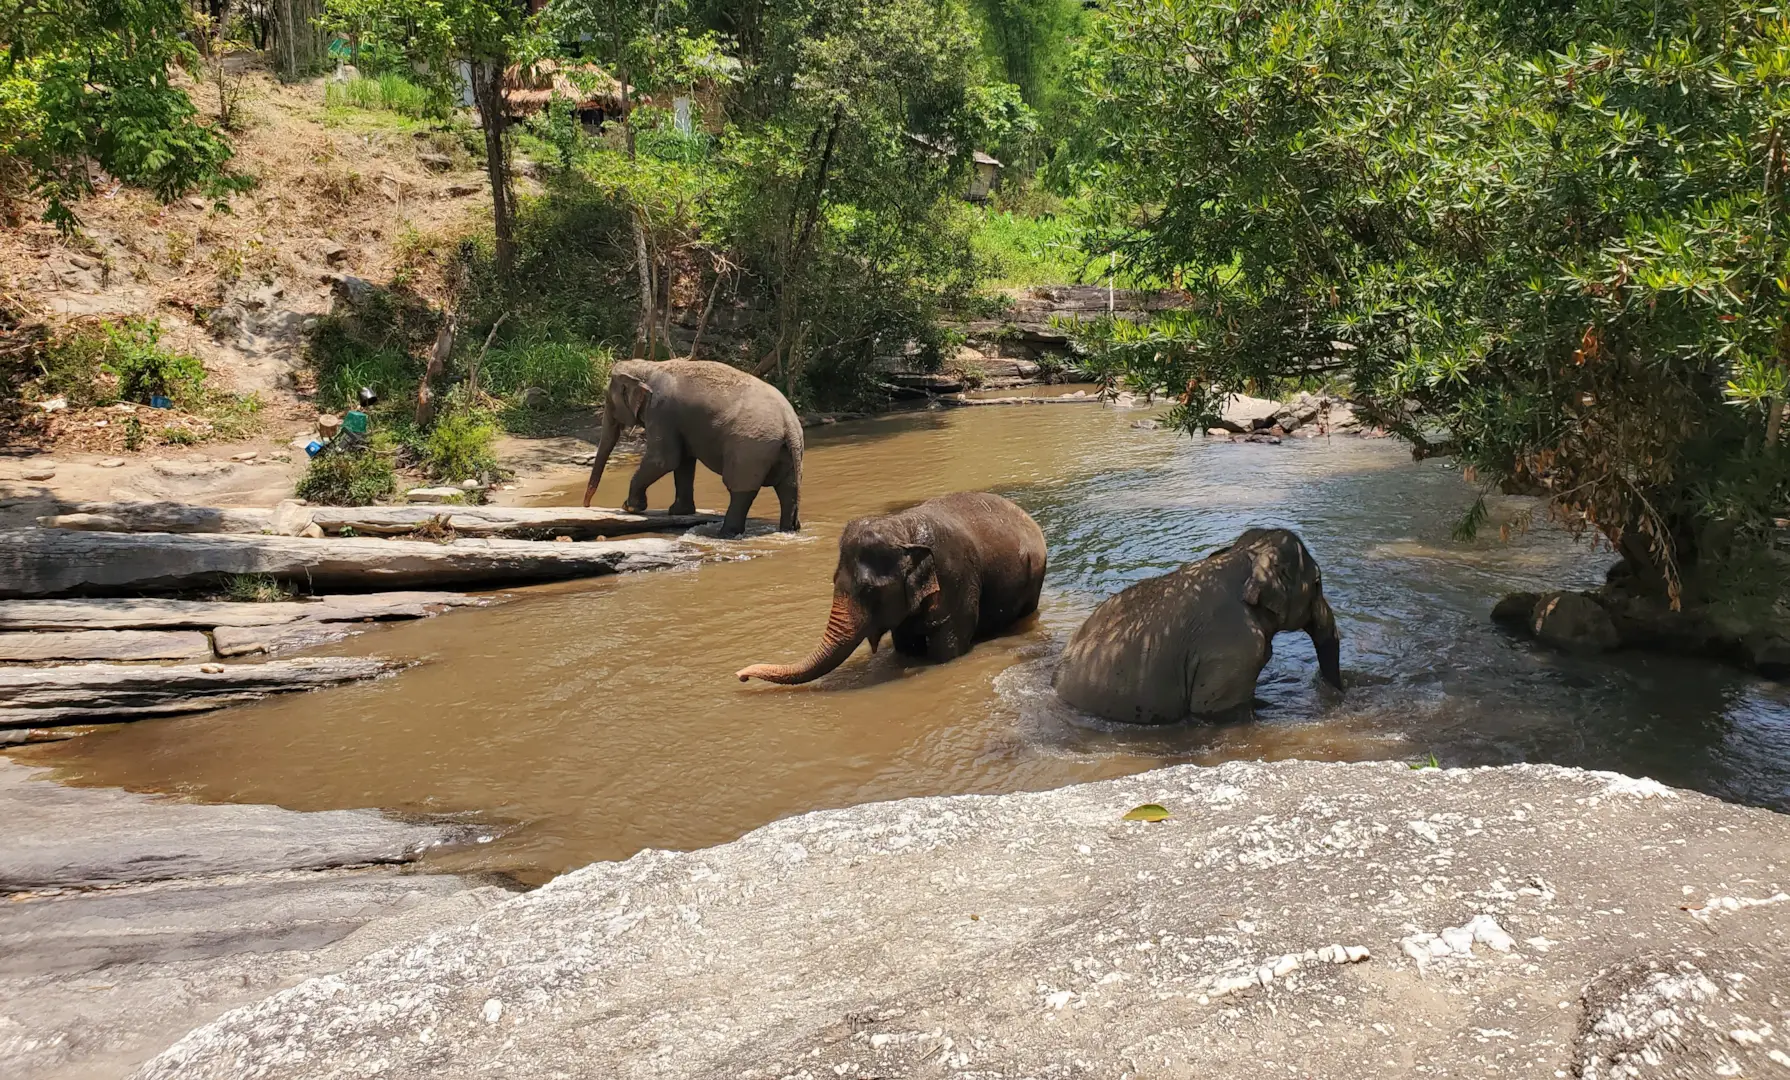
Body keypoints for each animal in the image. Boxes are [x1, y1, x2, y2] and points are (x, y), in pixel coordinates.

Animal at [583, 356, 801, 537]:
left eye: (608, 400)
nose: (586, 505)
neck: (648, 366)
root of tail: (789, 424)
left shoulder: (661, 410)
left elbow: (664, 460)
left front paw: (629, 508)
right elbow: (683, 461)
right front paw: (678, 512)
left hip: (750, 448)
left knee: (740, 489)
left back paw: (724, 534)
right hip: (783, 451)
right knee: (788, 489)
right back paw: (788, 530)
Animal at [737, 490, 1045, 684]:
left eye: (870, 591)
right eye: (833, 580)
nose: (741, 675)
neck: (902, 526)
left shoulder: (956, 580)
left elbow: (947, 650)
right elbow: (904, 645)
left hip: (1034, 579)